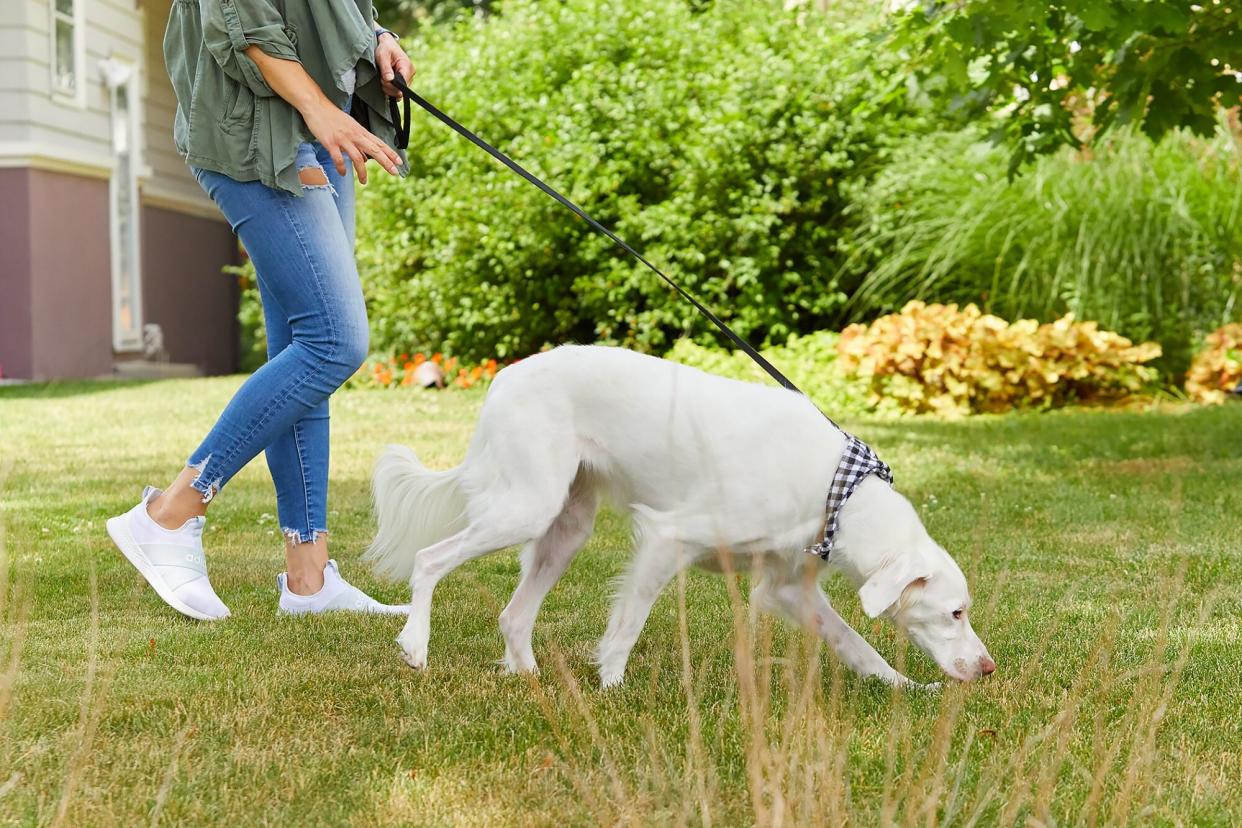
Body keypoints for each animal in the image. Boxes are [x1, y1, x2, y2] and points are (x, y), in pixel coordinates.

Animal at [362, 342, 993, 685]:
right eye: (956, 612)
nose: (987, 669)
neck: (837, 489)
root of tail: (503, 377)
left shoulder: (788, 588)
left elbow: (855, 643)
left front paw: (904, 687)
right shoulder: (668, 539)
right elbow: (627, 624)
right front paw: (611, 687)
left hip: (565, 526)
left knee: (514, 616)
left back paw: (531, 677)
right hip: (526, 508)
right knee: (429, 559)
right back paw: (415, 645)